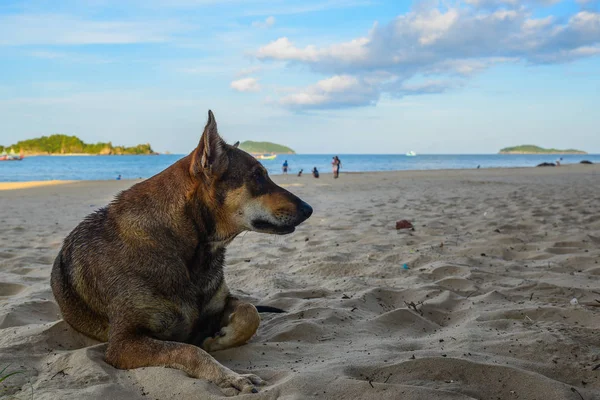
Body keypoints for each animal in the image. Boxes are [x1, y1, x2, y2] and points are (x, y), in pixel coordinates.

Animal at [50, 111, 314, 396]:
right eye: (257, 176)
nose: (309, 209)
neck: (189, 250)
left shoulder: (220, 304)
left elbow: (249, 312)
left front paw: (217, 340)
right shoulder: (123, 343)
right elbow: (189, 350)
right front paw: (230, 376)